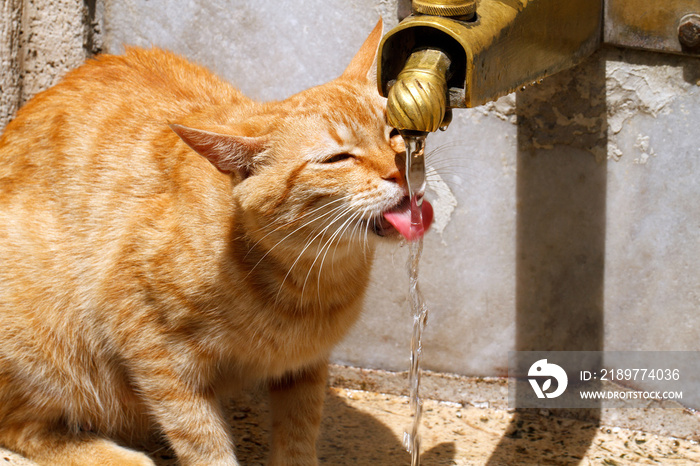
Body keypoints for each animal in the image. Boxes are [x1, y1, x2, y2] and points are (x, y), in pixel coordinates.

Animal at [0, 20, 432, 464]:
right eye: (337, 159)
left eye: (395, 133)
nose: (399, 171)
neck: (308, 278)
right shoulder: (155, 352)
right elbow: (200, 438)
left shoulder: (305, 365)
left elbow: (299, 430)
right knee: (20, 427)